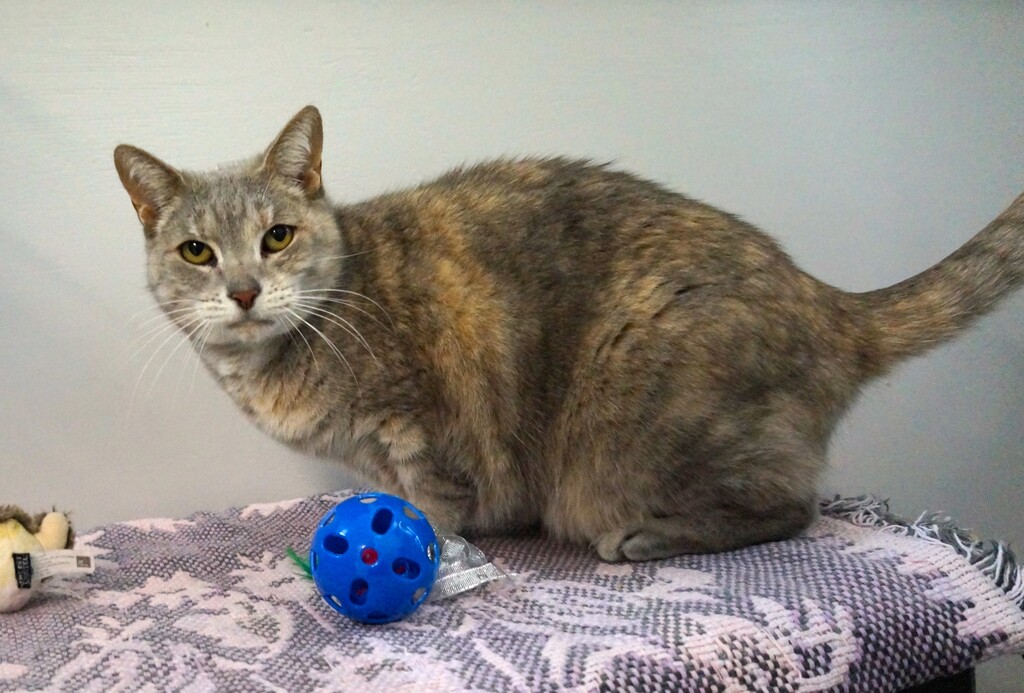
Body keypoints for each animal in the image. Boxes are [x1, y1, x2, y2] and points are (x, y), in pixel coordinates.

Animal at [113, 106, 1024, 561]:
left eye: (277, 236)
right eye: (197, 250)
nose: (241, 289)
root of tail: (824, 299)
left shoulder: (421, 426)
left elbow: (432, 508)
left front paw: (426, 556)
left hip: (632, 434)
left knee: (791, 506)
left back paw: (648, 536)